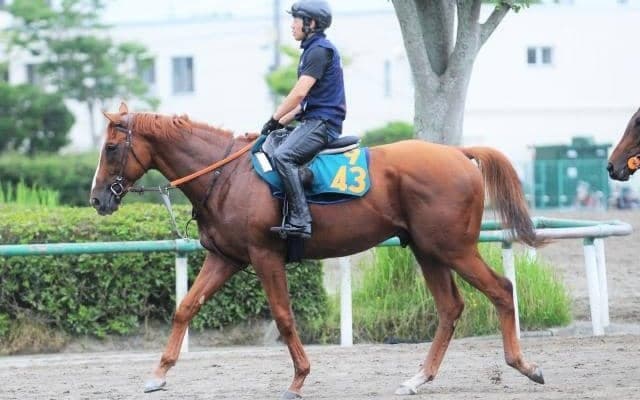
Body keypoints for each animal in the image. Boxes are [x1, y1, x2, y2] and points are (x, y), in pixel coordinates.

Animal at [90, 103, 545, 398]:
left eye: (111, 148)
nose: (97, 199)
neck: (226, 174)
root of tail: (458, 153)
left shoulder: (264, 256)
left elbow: (284, 316)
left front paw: (299, 378)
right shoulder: (226, 258)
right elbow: (186, 307)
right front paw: (158, 374)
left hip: (453, 248)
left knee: (501, 290)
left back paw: (524, 365)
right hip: (428, 251)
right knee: (450, 307)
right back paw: (419, 378)